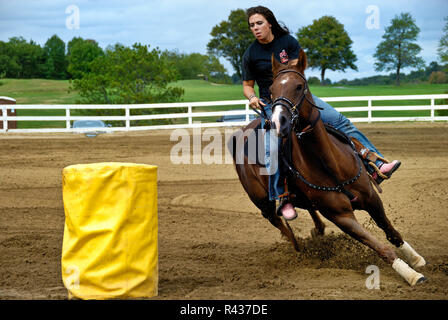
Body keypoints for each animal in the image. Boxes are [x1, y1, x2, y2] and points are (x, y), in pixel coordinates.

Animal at [231, 48, 428, 286]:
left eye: (300, 85)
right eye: (271, 90)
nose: (279, 122)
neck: (330, 164)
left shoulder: (372, 198)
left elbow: (391, 231)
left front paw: (415, 259)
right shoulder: (341, 216)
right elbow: (381, 247)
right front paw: (411, 274)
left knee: (308, 210)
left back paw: (318, 229)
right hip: (263, 204)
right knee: (280, 224)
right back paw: (300, 249)